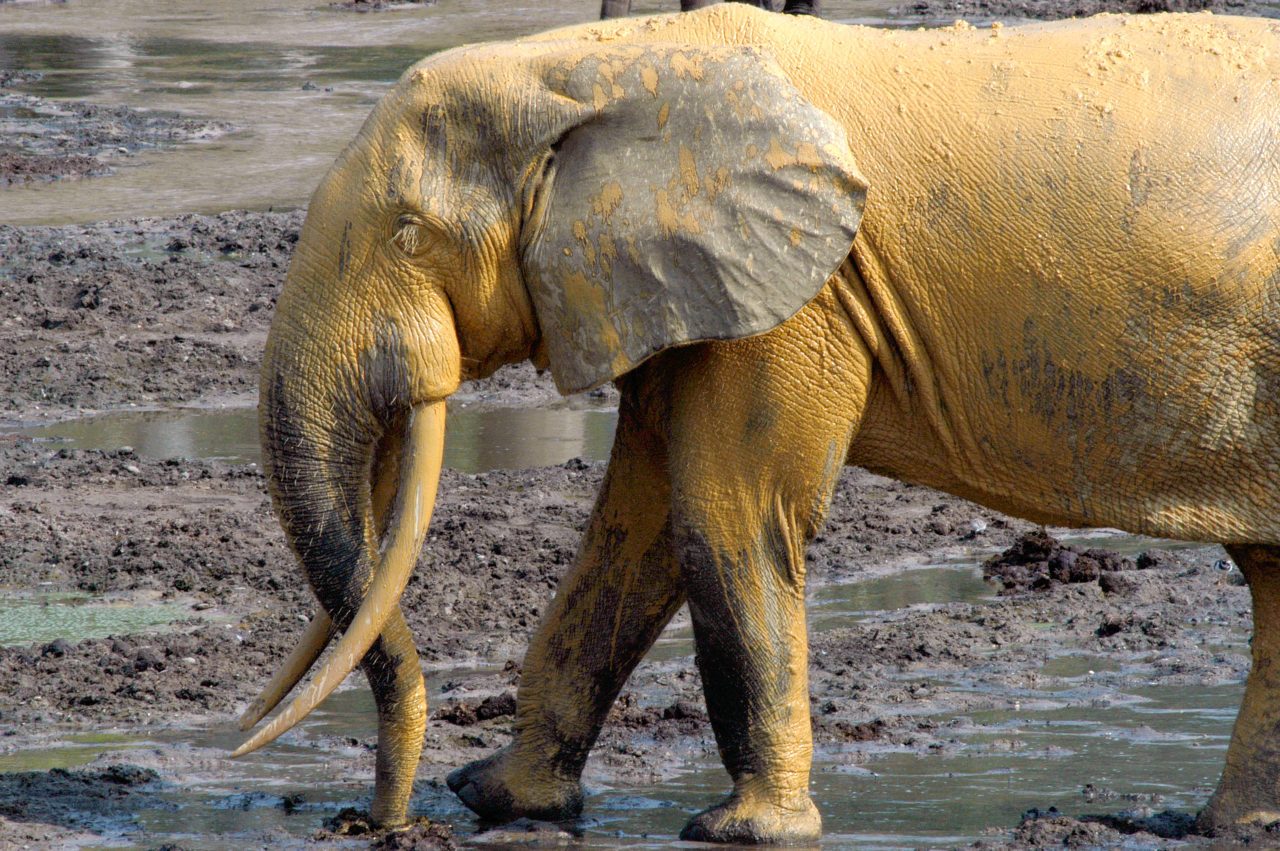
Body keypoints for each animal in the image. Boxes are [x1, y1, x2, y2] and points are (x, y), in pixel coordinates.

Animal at [235, 4, 1280, 844]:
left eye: (409, 234)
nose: (376, 821)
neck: (596, 62)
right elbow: (634, 536)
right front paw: (504, 800)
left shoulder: (798, 301)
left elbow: (722, 519)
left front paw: (739, 831)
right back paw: (1229, 825)